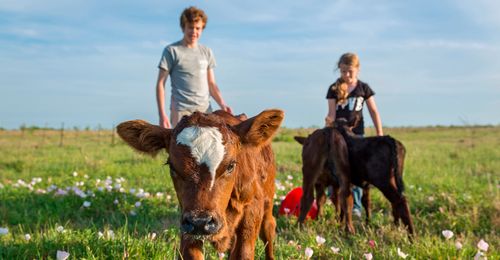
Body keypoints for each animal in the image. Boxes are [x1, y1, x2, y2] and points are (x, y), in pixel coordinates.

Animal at [115, 110, 284, 260]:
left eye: (231, 166)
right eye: (172, 167)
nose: (201, 222)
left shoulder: (252, 207)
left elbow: (244, 253)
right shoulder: (188, 221)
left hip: (267, 202)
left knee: (268, 227)